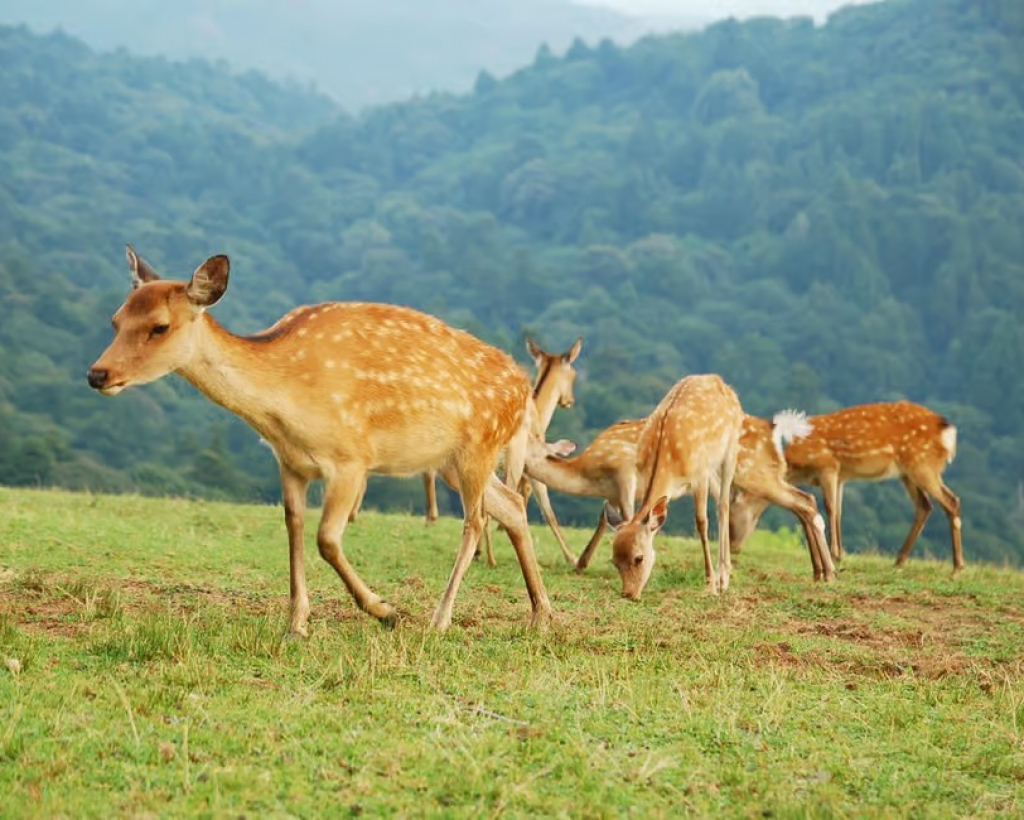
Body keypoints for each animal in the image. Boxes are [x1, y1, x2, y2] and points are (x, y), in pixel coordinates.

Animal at [86, 247, 552, 634]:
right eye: (115, 320)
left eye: (159, 327)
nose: (98, 374)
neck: (283, 409)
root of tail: (522, 391)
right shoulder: (289, 462)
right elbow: (293, 528)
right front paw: (296, 625)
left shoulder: (351, 459)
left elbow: (326, 540)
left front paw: (384, 610)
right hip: (450, 462)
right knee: (512, 504)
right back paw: (541, 614)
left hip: (480, 446)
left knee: (476, 521)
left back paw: (439, 620)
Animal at [526, 412, 835, 582]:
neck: (589, 474)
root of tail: (774, 429)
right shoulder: (613, 492)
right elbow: (606, 520)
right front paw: (581, 563)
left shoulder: (624, 475)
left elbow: (627, 518)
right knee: (803, 503)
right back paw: (819, 572)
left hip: (753, 472)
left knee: (804, 502)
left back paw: (828, 571)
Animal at [599, 374, 744, 600]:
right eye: (614, 561)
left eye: (639, 558)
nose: (628, 594)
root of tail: (718, 379)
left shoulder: (699, 475)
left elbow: (701, 523)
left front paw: (711, 586)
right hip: (713, 465)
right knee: (721, 495)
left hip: (731, 447)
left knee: (723, 505)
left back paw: (723, 579)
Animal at [731, 400, 963, 571]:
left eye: (732, 520)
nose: (733, 548)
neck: (797, 466)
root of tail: (948, 431)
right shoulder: (842, 476)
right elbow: (839, 511)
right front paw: (841, 554)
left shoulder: (828, 467)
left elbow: (830, 508)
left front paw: (835, 554)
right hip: (909, 472)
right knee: (924, 506)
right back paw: (899, 560)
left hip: (923, 465)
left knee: (951, 501)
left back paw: (957, 567)